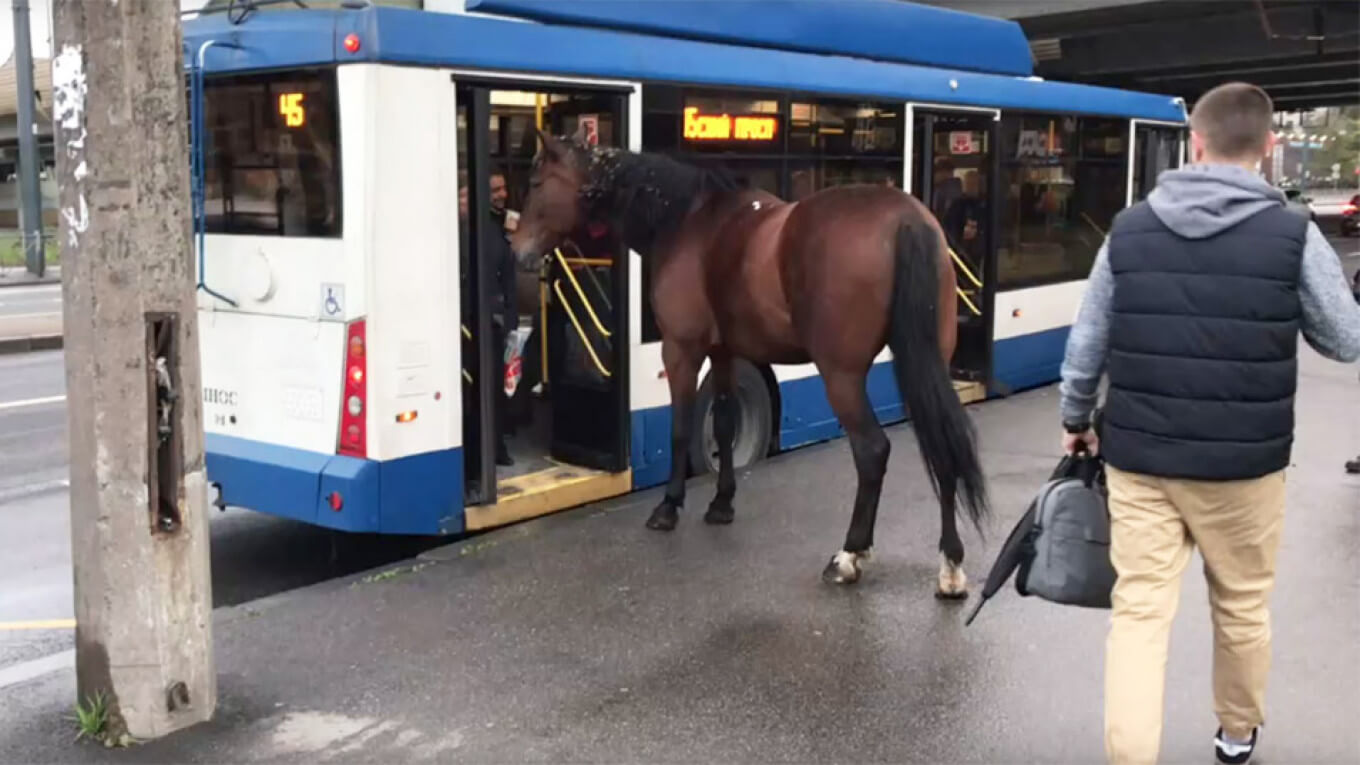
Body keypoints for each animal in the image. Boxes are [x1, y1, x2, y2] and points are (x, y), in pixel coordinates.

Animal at [511, 132, 990, 596]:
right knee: (942, 441)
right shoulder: (724, 350)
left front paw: (669, 505)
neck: (687, 222)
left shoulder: (681, 349)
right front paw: (722, 502)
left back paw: (849, 555)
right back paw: (950, 564)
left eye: (535, 182)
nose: (518, 251)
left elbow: (681, 426)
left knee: (872, 451)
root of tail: (907, 220)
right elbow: (723, 423)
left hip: (842, 376)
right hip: (927, 362)